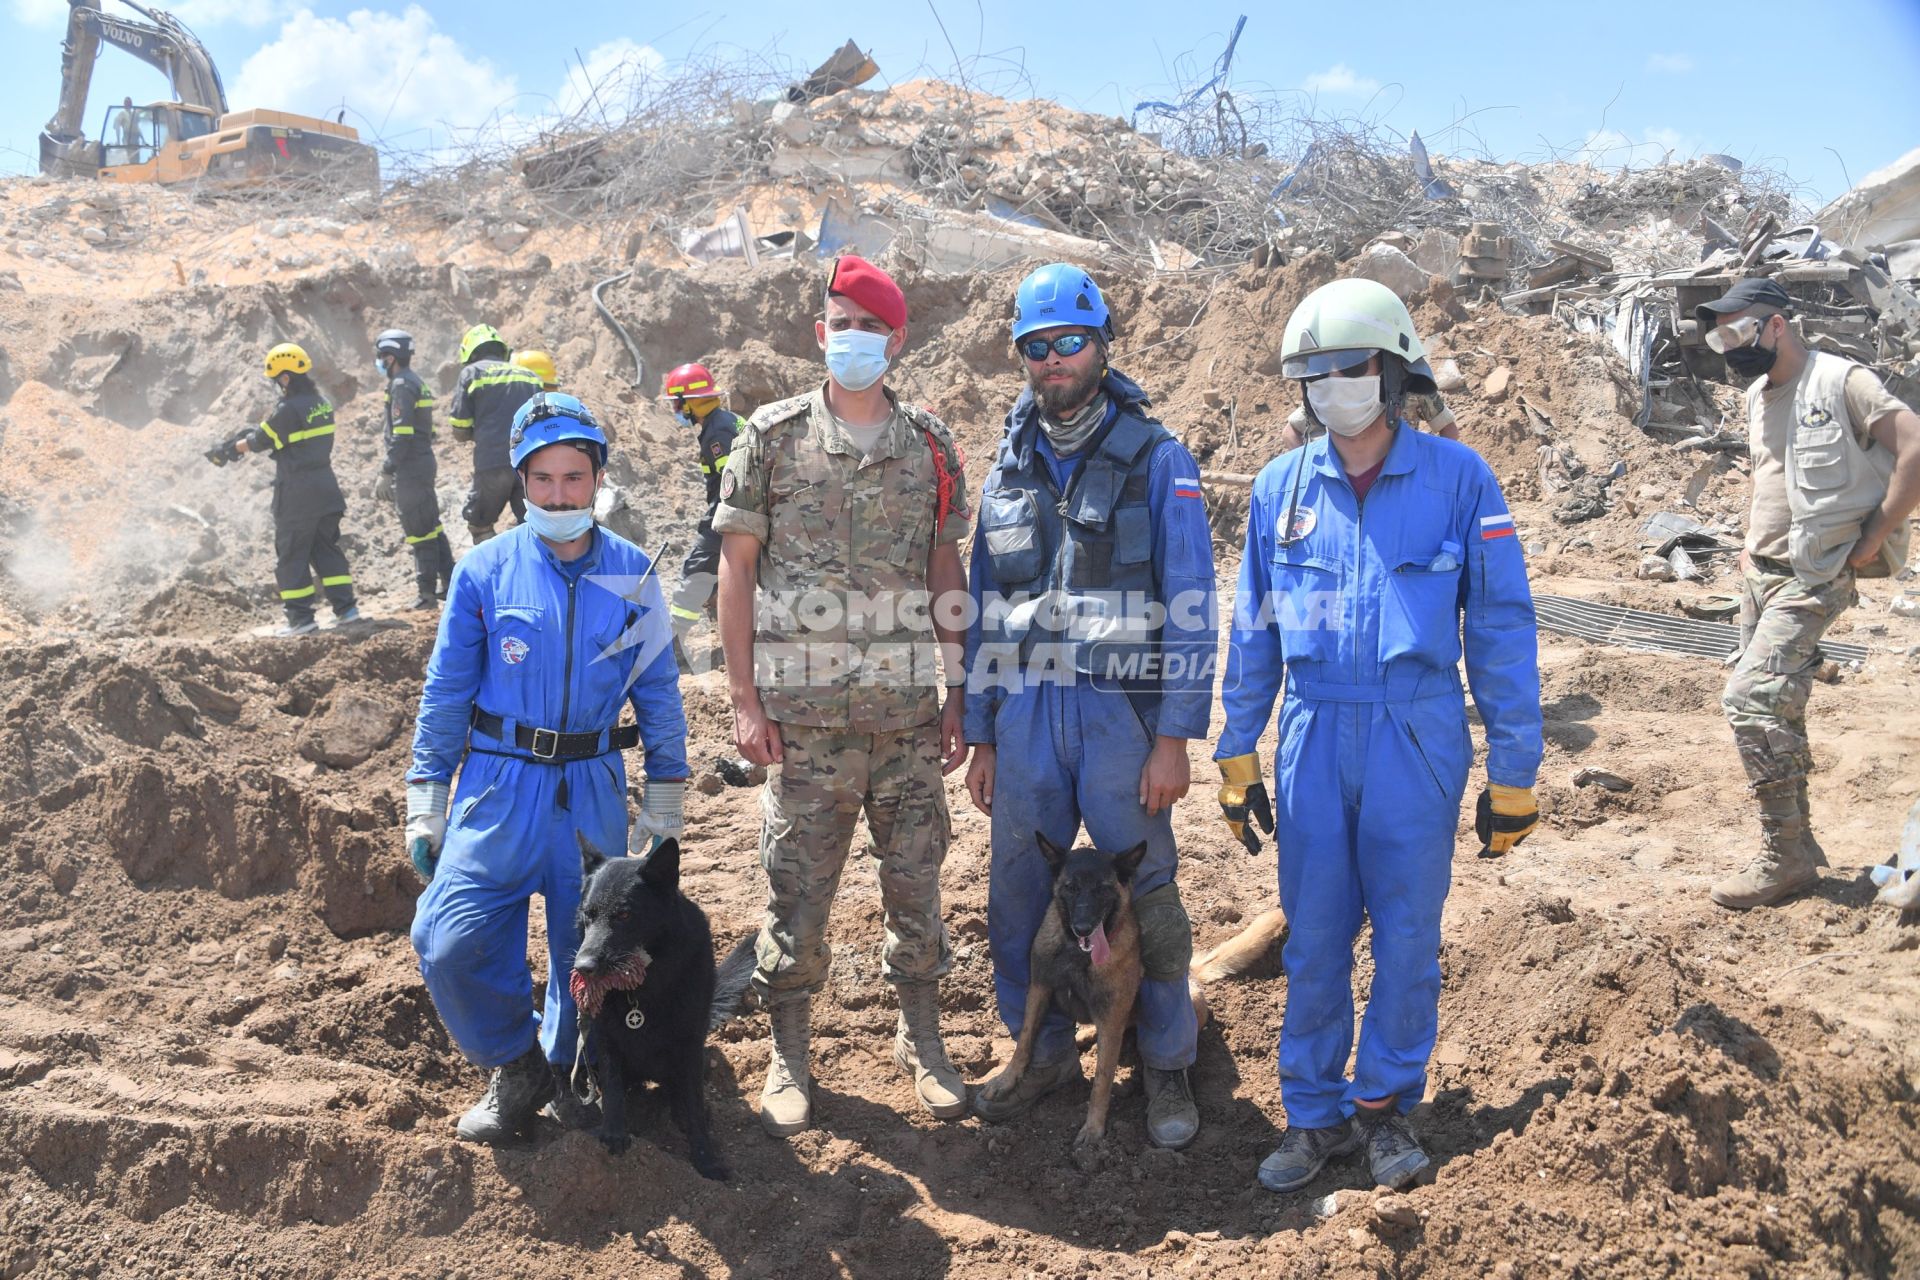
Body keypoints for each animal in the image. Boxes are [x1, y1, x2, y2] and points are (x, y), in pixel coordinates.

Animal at [564, 832, 752, 1182]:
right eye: (588, 914)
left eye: (624, 915)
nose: (583, 968)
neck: (642, 991)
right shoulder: (607, 1041)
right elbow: (612, 1090)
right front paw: (613, 1133)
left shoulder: (689, 1046)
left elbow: (694, 1108)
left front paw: (706, 1160)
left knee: (681, 1094)